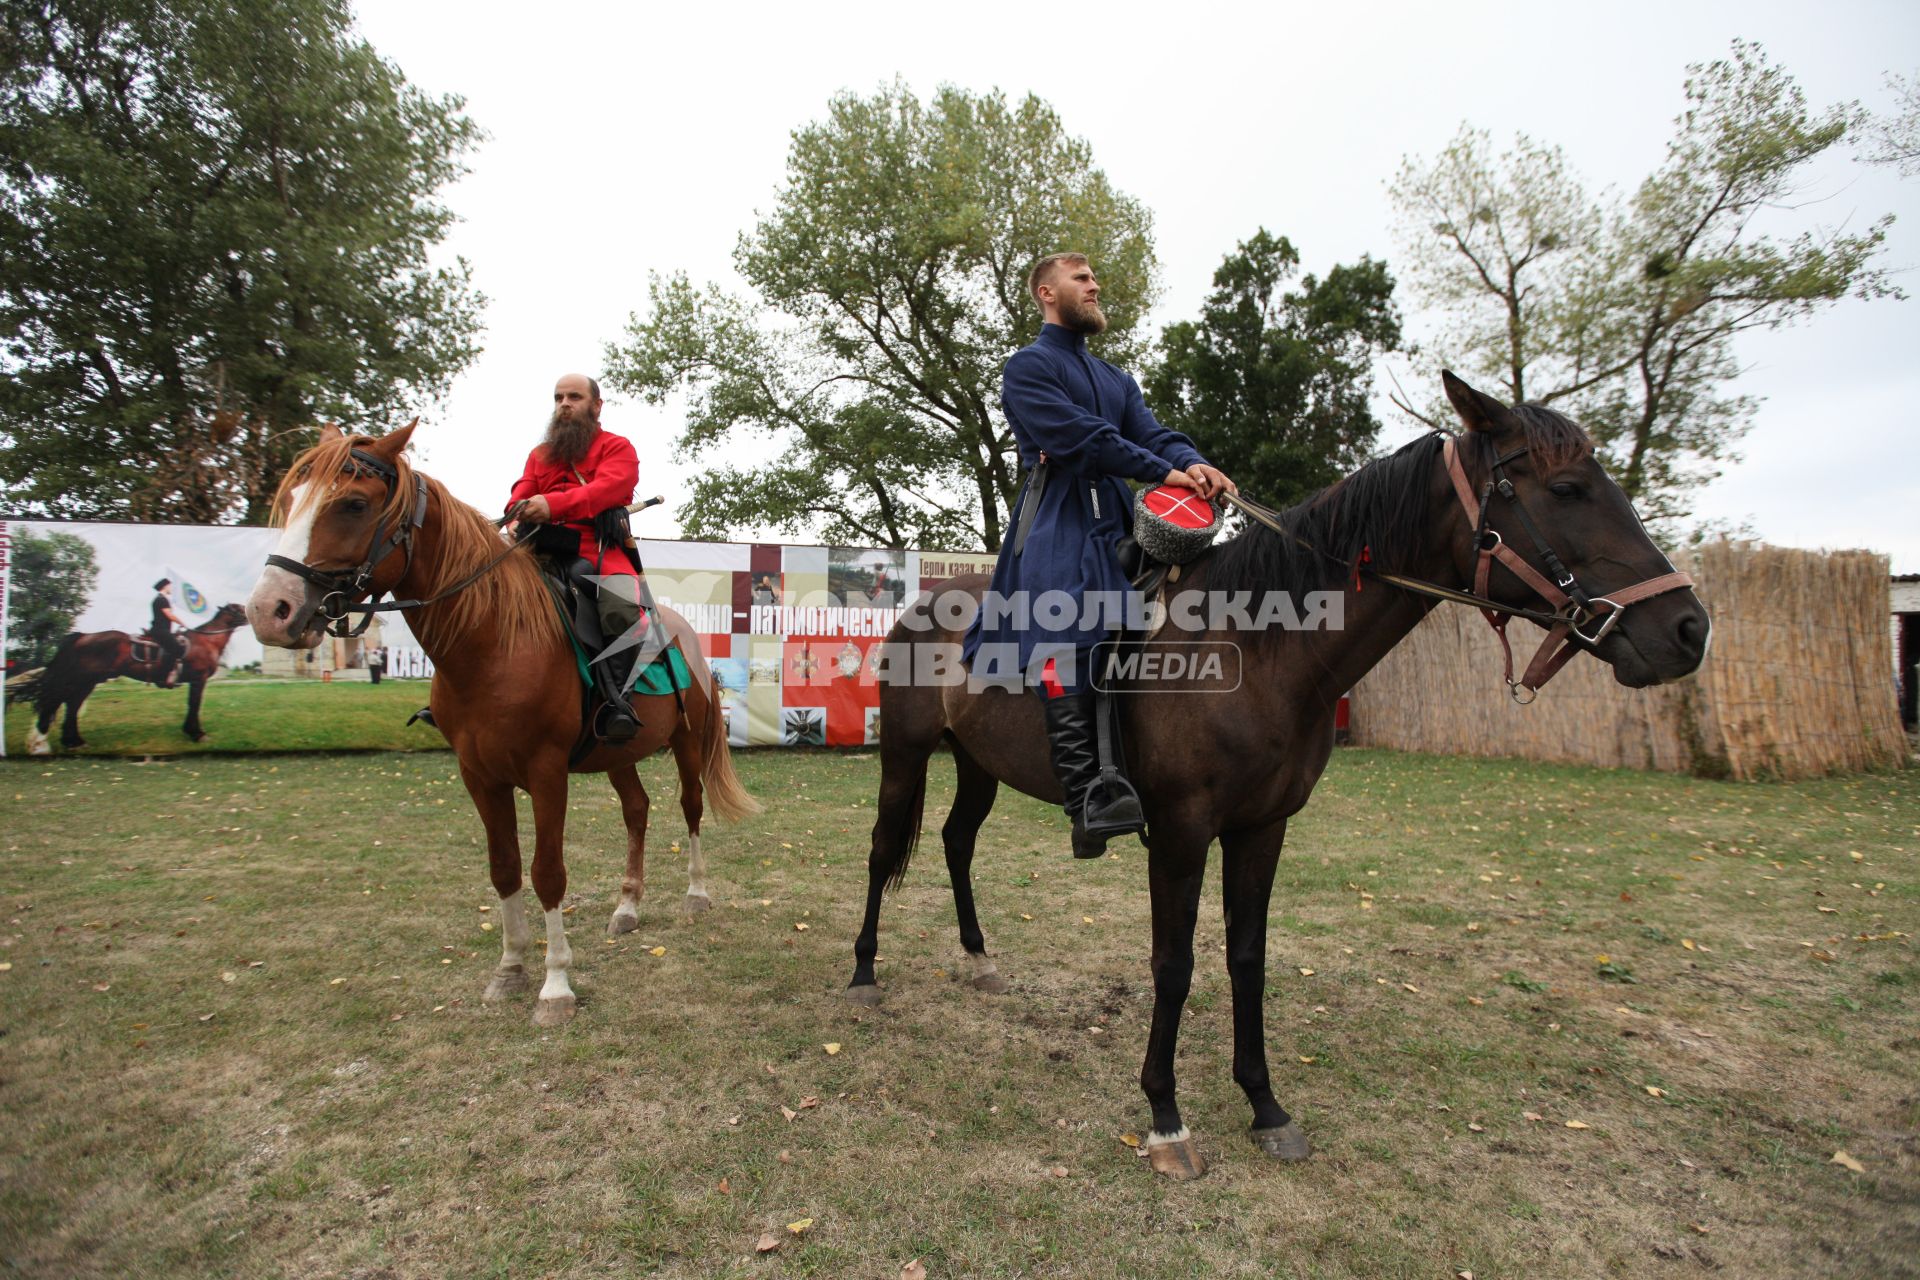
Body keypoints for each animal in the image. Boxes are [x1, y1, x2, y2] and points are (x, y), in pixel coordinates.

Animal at [22, 606, 249, 756]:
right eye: (241, 608)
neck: (205, 641)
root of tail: (82, 636)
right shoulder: (198, 679)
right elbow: (194, 704)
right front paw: (197, 733)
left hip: (87, 682)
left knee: (71, 706)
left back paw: (73, 742)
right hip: (80, 680)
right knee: (60, 704)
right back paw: (45, 743)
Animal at [251, 426, 760, 1028]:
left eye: (353, 504)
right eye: (292, 499)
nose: (269, 610)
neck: (493, 640)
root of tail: (684, 635)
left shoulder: (546, 773)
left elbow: (547, 873)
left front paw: (555, 985)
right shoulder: (479, 775)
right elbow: (505, 868)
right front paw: (511, 968)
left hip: (686, 742)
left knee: (691, 807)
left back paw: (696, 895)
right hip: (618, 752)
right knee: (637, 811)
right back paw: (627, 905)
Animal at [848, 372, 1720, 1182]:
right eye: (1567, 488)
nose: (1686, 630)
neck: (1257, 646)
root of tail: (926, 603)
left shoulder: (1262, 829)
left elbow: (1248, 958)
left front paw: (1265, 1105)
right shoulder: (1182, 832)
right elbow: (1174, 966)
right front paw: (1166, 1118)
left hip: (977, 766)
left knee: (957, 842)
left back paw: (978, 959)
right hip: (904, 758)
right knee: (884, 848)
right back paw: (862, 973)